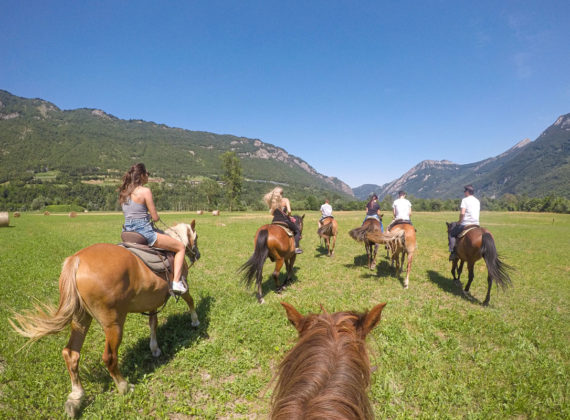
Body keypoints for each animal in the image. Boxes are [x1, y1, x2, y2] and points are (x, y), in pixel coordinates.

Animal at [9, 221, 202, 418]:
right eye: (196, 236)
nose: (197, 254)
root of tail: (76, 260)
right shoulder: (183, 286)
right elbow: (190, 301)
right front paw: (195, 321)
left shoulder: (152, 301)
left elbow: (153, 324)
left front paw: (155, 348)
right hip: (113, 324)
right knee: (109, 357)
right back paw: (124, 387)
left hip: (80, 318)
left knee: (71, 353)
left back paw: (76, 397)